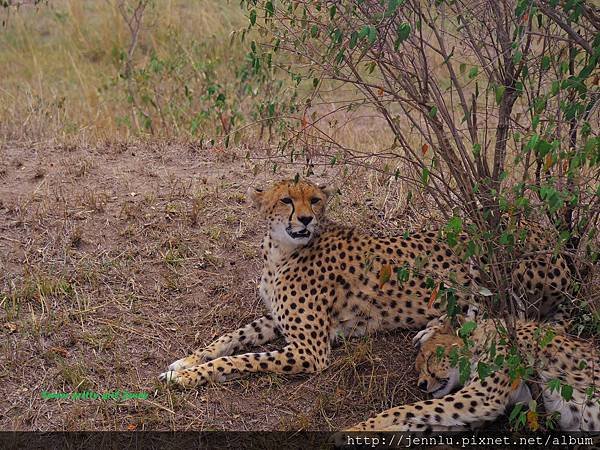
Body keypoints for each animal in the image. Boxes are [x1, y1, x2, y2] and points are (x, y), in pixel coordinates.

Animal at [159, 180, 572, 390]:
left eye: (315, 200)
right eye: (287, 200)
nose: (305, 219)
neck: (281, 250)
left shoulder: (311, 352)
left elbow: (241, 359)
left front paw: (187, 376)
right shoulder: (276, 320)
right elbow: (230, 338)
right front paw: (187, 360)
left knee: (501, 312)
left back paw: (433, 330)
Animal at [350, 318, 596, 430]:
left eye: (428, 359)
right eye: (418, 369)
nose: (421, 384)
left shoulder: (481, 397)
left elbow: (408, 409)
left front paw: (359, 427)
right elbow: (420, 419)